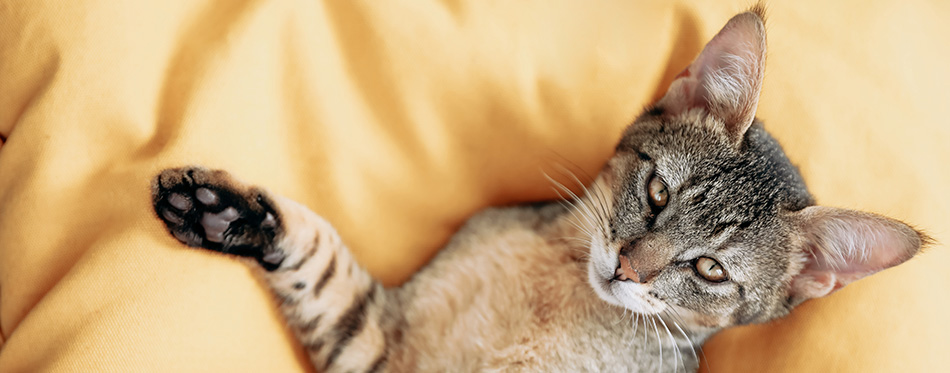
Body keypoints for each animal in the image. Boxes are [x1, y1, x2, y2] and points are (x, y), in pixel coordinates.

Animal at [151, 7, 928, 370]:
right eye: (657, 194)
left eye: (709, 269)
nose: (626, 268)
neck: (558, 293)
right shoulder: (379, 344)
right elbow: (320, 263)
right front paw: (224, 212)